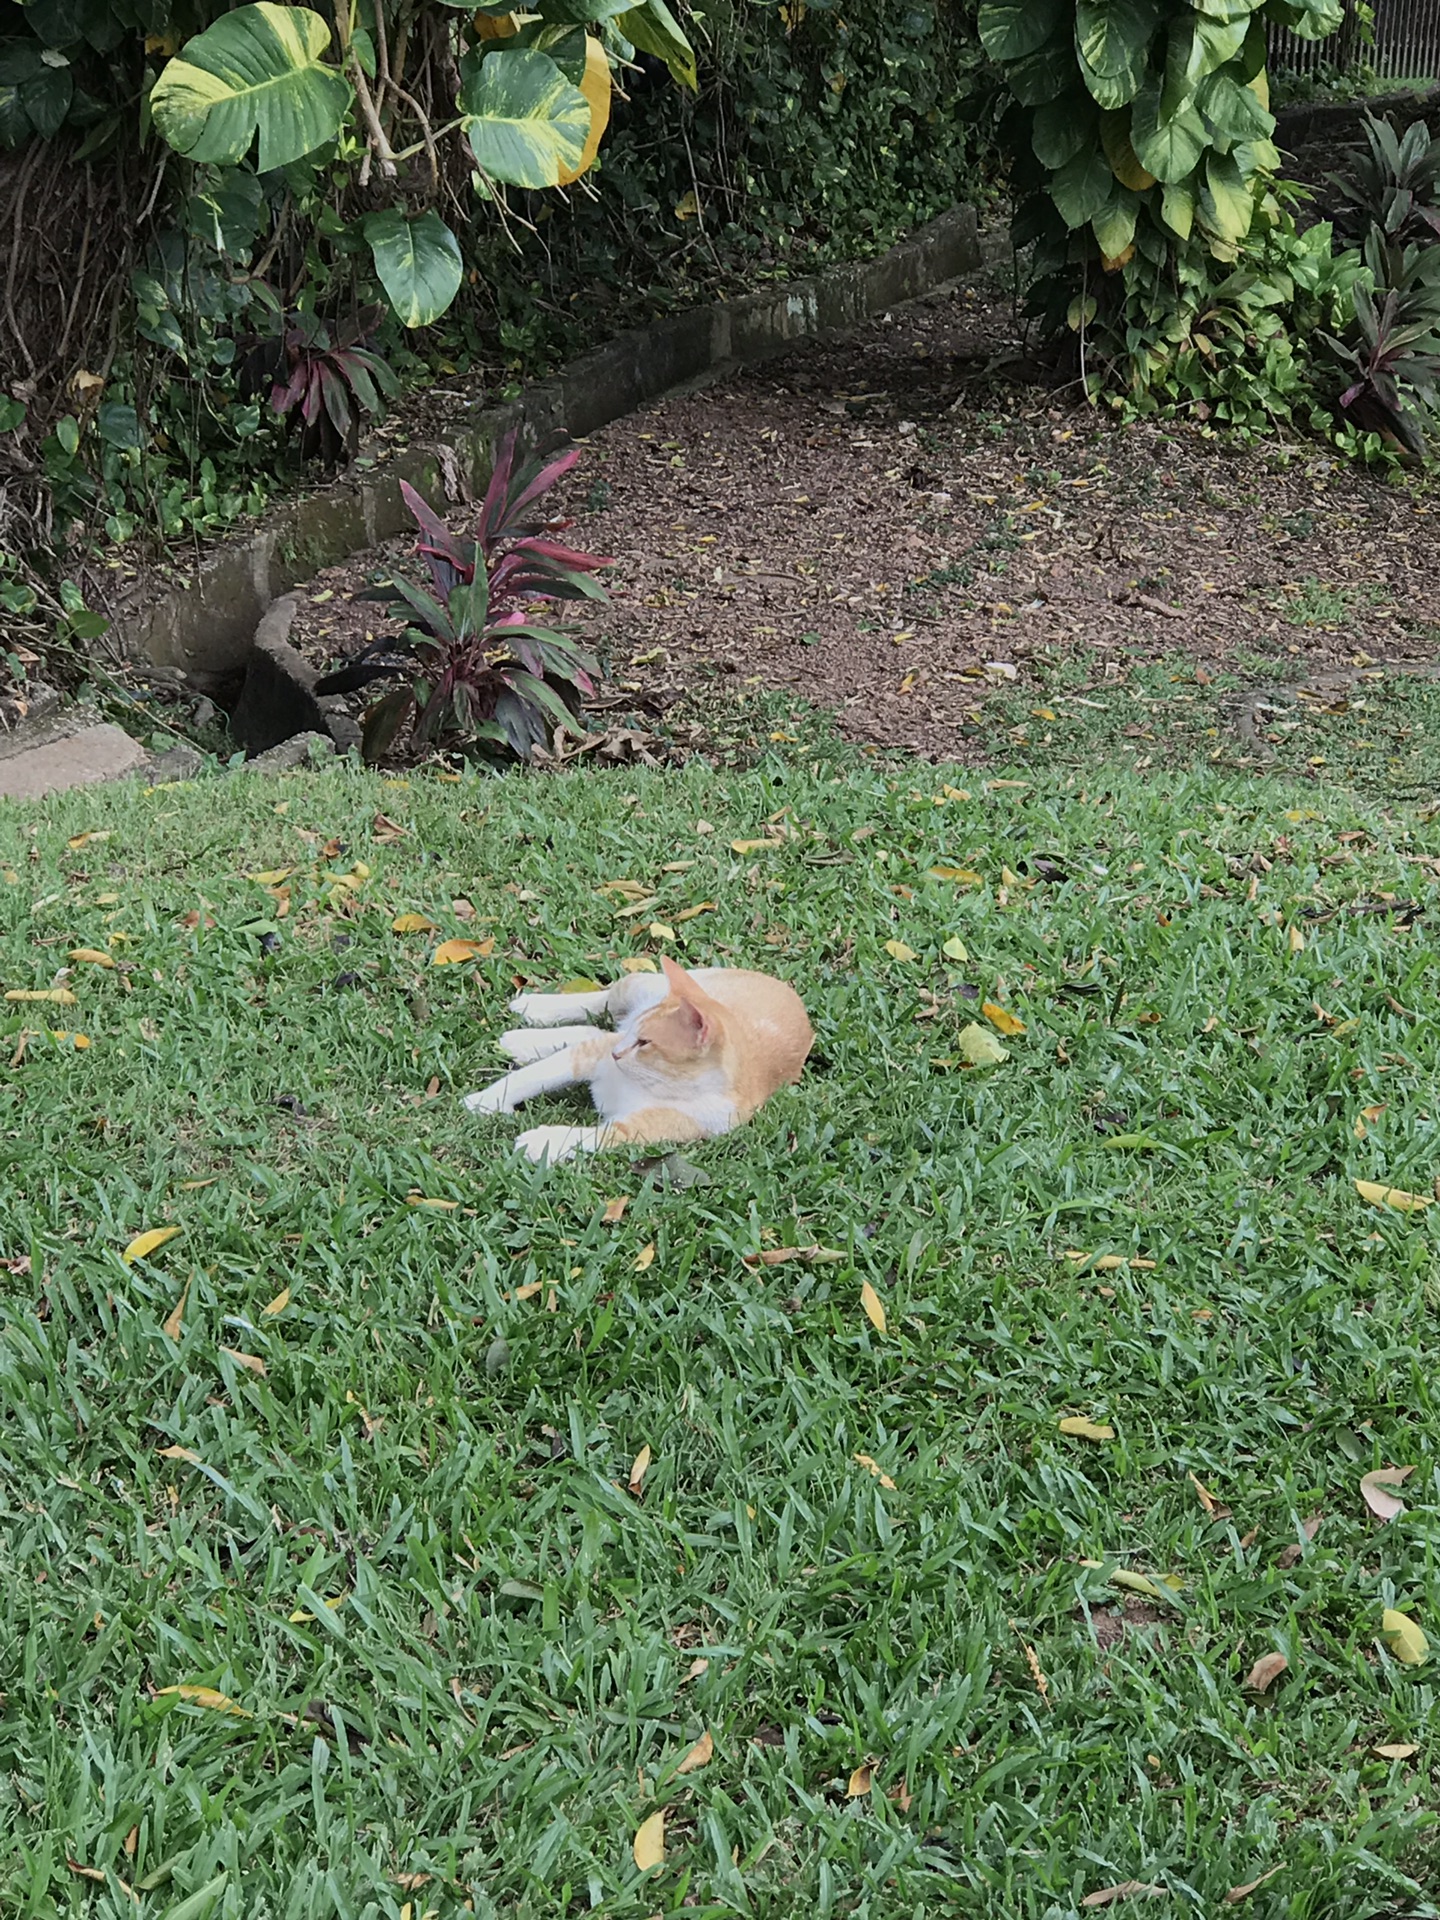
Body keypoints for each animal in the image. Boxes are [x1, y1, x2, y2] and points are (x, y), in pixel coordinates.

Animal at [468, 956, 817, 1159]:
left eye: (645, 1042)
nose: (617, 1053)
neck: (655, 1081)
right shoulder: (594, 1054)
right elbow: (533, 1076)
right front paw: (486, 1100)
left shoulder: (655, 1129)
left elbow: (598, 1136)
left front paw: (545, 1141)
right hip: (640, 985)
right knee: (602, 1005)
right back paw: (535, 1013)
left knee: (591, 1030)